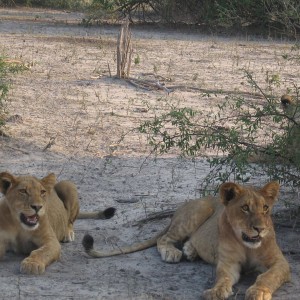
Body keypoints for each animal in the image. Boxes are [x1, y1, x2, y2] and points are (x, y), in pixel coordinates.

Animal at [82, 180, 290, 300]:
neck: (247, 245)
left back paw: (190, 251)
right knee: (163, 238)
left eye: (265, 208)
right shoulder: (228, 263)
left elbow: (269, 276)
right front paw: (216, 291)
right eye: (245, 208)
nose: (260, 229)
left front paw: (258, 292)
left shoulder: (281, 263)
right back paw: (173, 253)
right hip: (196, 214)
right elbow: (222, 277)